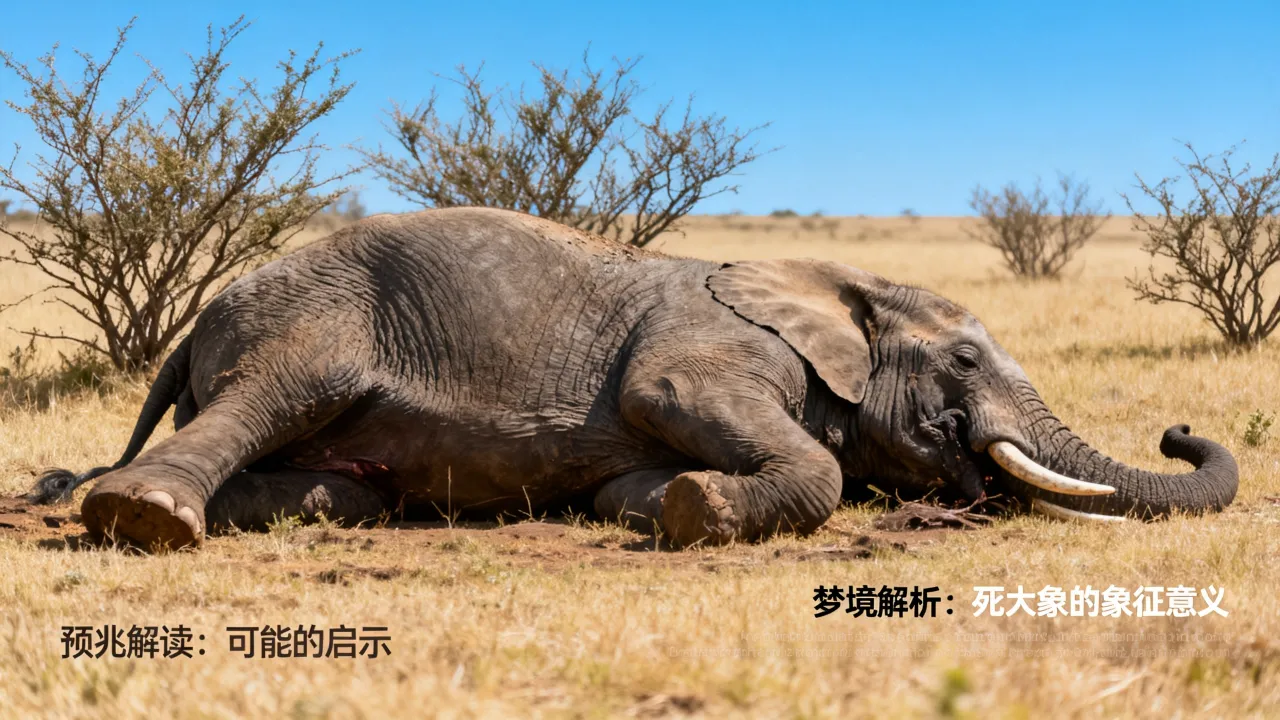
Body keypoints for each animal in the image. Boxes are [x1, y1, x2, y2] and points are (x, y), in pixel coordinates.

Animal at [29, 207, 1238, 549]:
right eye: (966, 359)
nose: (1179, 429)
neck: (841, 281)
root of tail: (197, 319)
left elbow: (631, 476)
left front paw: (661, 502)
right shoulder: (712, 347)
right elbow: (681, 403)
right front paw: (703, 507)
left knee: (335, 487)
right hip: (307, 323)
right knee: (278, 391)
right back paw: (146, 518)